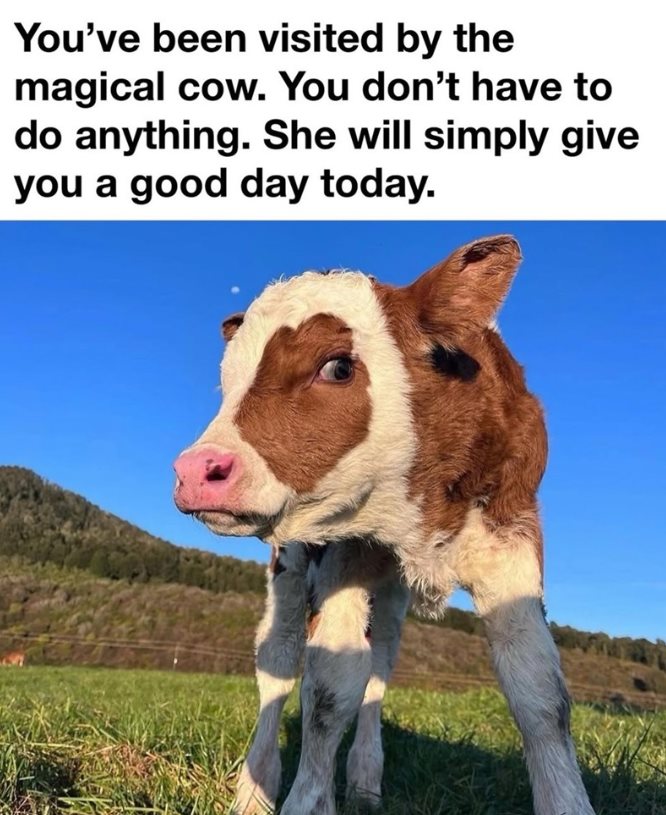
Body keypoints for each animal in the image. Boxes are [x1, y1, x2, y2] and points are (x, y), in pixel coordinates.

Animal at [174, 235, 595, 815]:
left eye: (337, 367)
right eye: (226, 385)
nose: (195, 471)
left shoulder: (512, 536)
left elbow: (539, 690)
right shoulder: (341, 550)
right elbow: (329, 689)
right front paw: (304, 799)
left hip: (391, 592)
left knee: (380, 659)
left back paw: (365, 780)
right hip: (291, 566)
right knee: (278, 660)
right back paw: (254, 791)